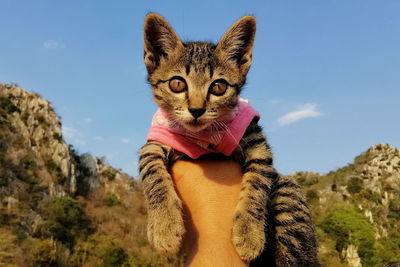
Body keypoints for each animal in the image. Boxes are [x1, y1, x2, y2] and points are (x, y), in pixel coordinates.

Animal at [139, 13, 320, 266]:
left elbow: (258, 183)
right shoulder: (154, 142)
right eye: (177, 84)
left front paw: (249, 232)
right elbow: (151, 172)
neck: (203, 136)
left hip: (287, 193)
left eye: (219, 87)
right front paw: (164, 225)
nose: (197, 110)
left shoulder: (257, 143)